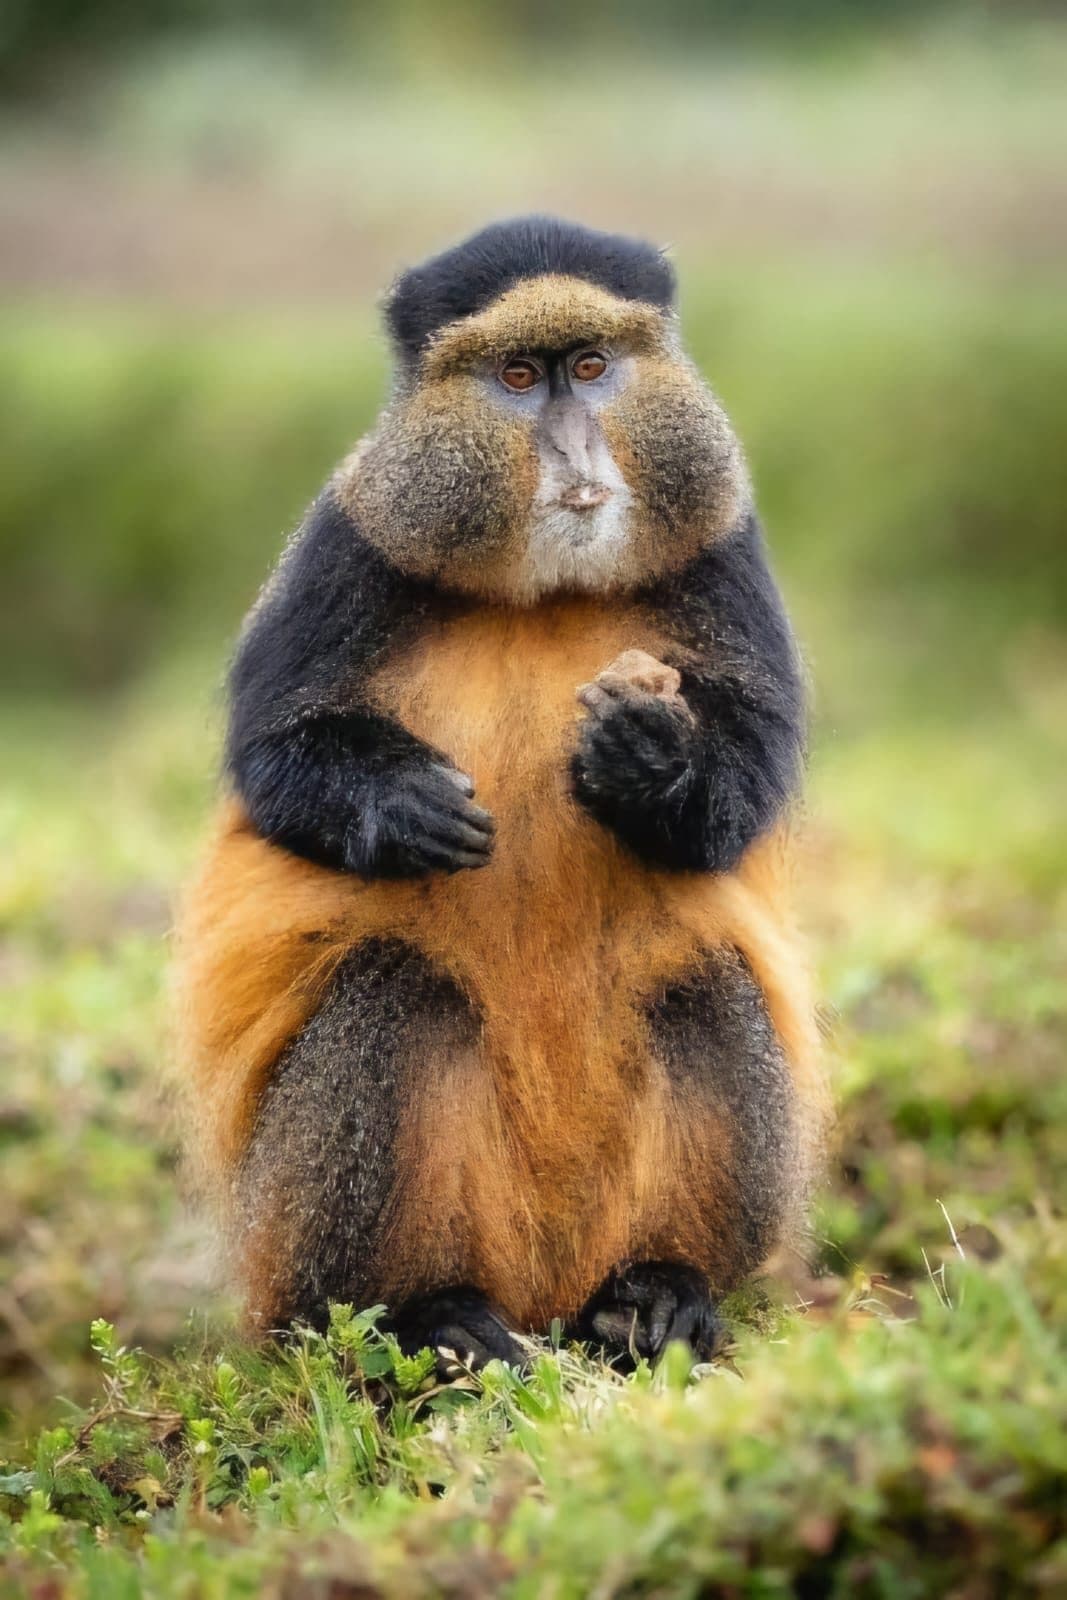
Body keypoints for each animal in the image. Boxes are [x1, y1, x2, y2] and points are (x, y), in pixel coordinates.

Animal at [173, 214, 827, 1374]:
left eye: (593, 366)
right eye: (518, 376)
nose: (573, 454)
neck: (543, 589)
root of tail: (546, 1284)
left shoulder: (726, 550)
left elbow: (740, 791)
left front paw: (645, 758)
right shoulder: (347, 542)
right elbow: (273, 757)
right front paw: (396, 808)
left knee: (706, 986)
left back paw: (661, 1294)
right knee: (388, 997)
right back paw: (426, 1319)